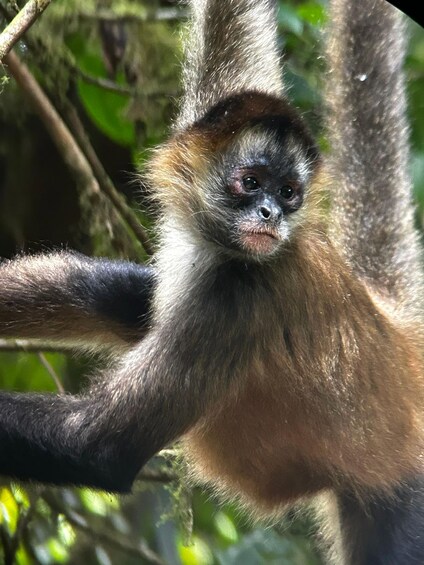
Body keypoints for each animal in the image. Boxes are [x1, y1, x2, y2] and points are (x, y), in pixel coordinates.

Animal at [0, 1, 424, 564]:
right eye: (251, 183)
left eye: (289, 193)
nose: (270, 213)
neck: (219, 251)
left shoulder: (239, 297)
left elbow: (99, 446)